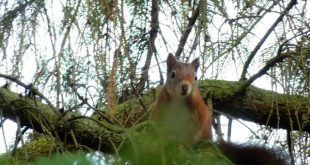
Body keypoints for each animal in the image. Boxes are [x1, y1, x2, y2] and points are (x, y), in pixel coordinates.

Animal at [151, 53, 286, 165]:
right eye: (172, 75)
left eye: (195, 77)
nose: (185, 87)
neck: (179, 100)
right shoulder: (161, 109)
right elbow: (159, 126)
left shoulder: (197, 112)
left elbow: (194, 129)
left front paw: (185, 145)